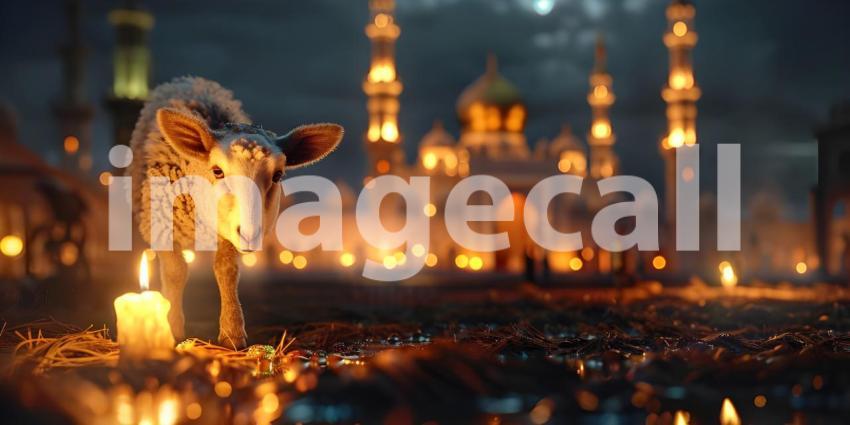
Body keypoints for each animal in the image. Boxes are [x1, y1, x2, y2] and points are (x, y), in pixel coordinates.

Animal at [128, 76, 343, 348]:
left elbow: (227, 271)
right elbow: (175, 272)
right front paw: (172, 327)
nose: (251, 235)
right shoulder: (163, 225)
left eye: (278, 175)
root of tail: (191, 80)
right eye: (217, 171)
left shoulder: (227, 233)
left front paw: (232, 333)